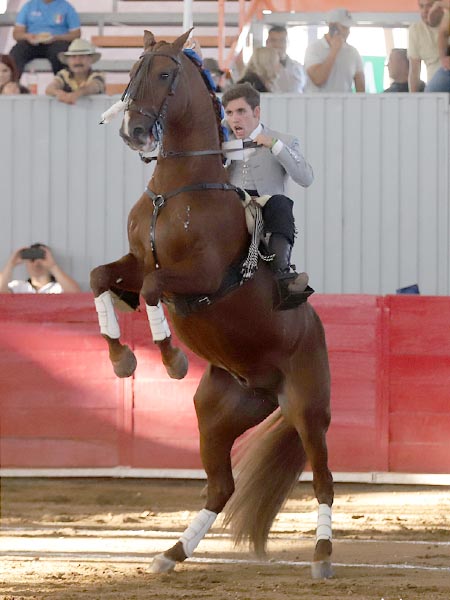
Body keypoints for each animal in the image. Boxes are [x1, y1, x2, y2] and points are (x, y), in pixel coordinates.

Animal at [89, 30, 332, 580]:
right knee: (222, 486)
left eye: (163, 74)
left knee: (323, 479)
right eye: (133, 70)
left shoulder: (198, 275)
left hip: (309, 409)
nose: (134, 131)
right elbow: (100, 279)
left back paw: (322, 556)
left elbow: (154, 289)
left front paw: (171, 358)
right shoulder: (133, 262)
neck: (177, 189)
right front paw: (121, 357)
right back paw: (172, 553)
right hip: (217, 412)